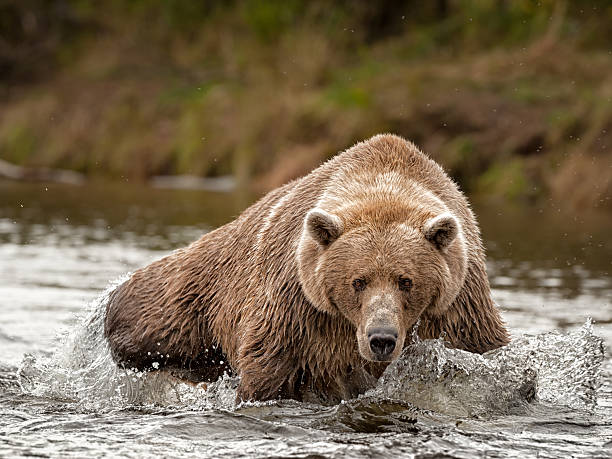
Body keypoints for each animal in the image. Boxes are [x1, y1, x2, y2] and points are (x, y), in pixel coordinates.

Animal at [104, 135, 506, 404]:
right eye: (358, 281)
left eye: (405, 281)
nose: (381, 338)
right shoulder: (296, 306)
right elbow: (269, 369)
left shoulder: (459, 306)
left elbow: (485, 355)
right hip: (199, 296)